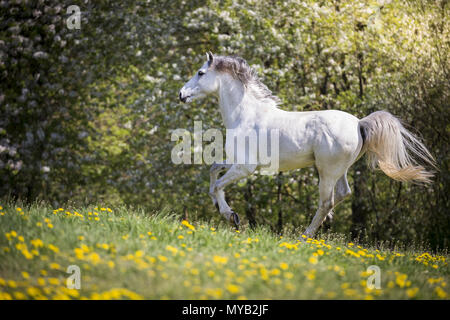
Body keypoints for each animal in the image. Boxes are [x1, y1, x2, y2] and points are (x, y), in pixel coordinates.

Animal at [179, 52, 436, 238]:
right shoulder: (235, 162)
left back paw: (305, 235)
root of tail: (359, 123)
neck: (246, 114)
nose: (181, 94)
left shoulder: (246, 168)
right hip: (339, 171)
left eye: (200, 72)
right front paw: (223, 210)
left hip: (327, 171)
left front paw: (230, 216)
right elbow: (213, 171)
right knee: (343, 193)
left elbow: (216, 185)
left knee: (326, 201)